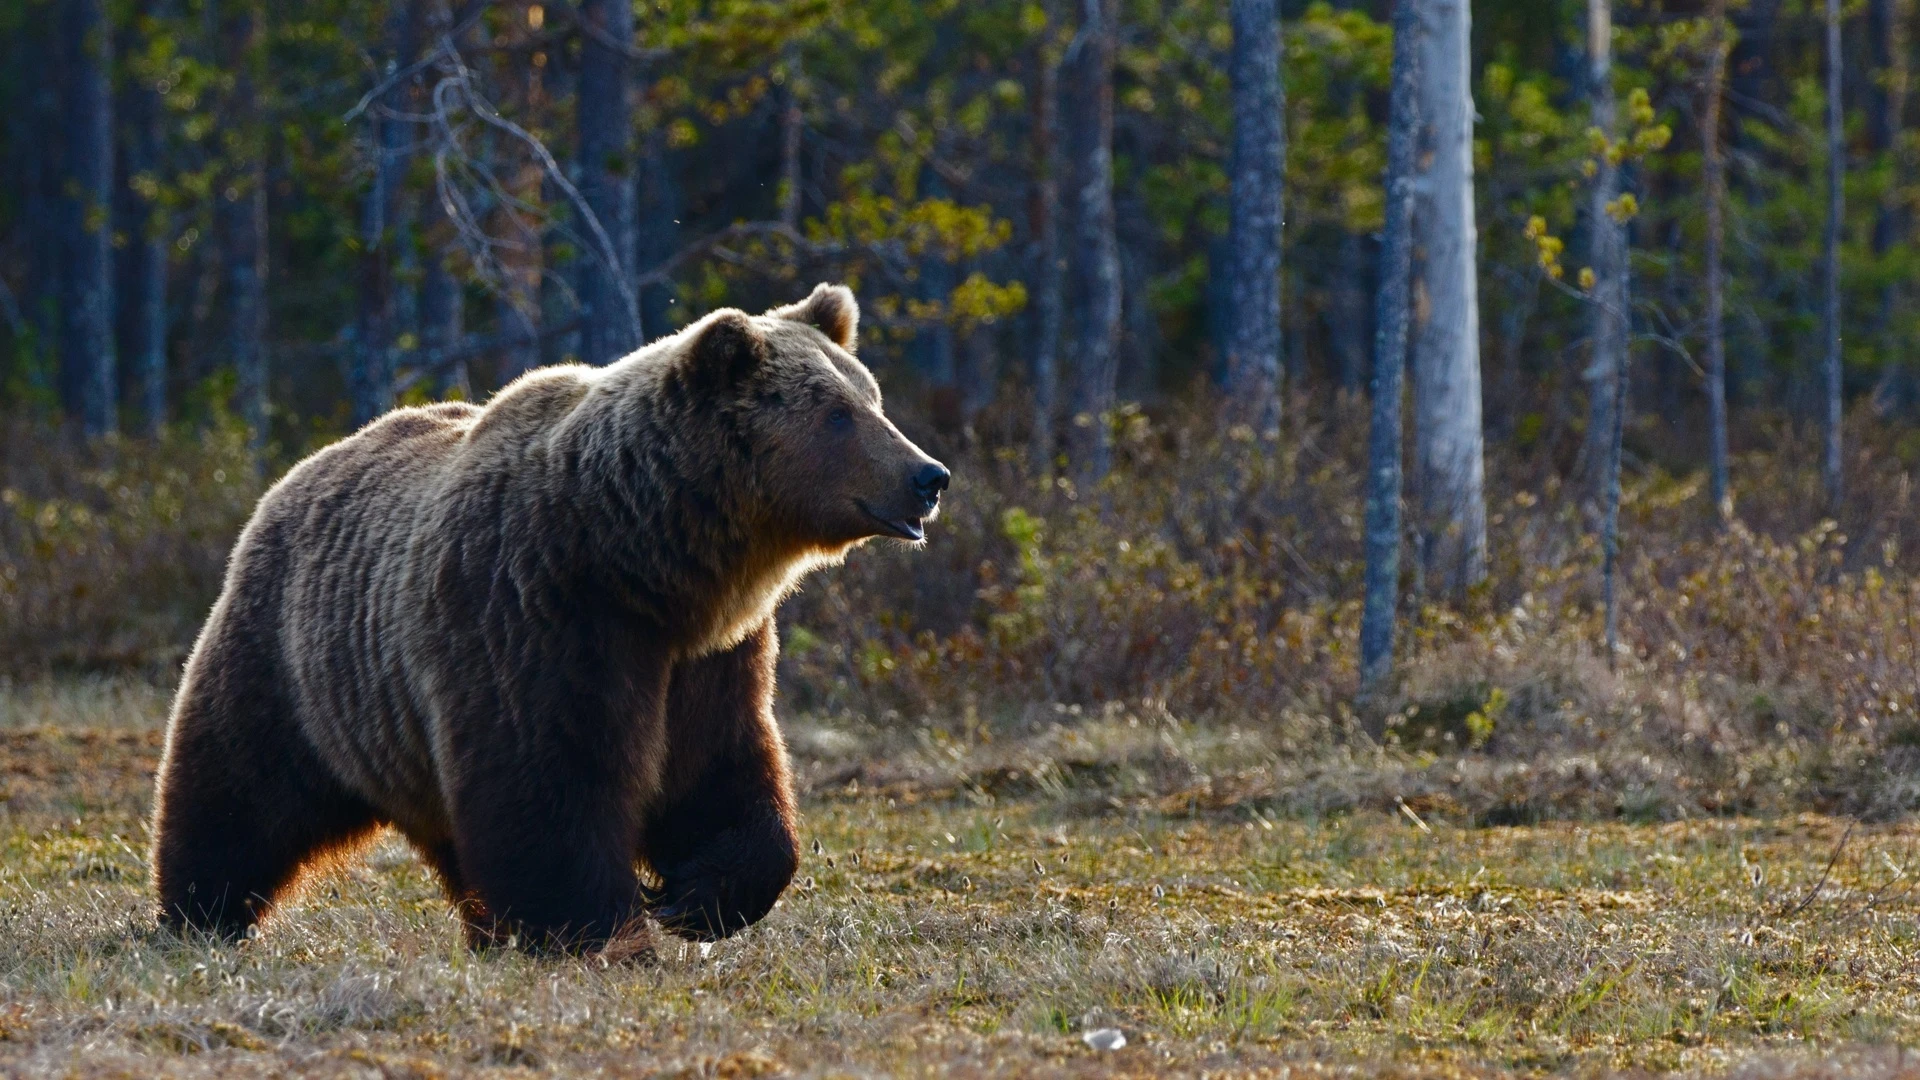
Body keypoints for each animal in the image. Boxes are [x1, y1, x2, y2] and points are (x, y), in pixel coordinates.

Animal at [149, 284, 944, 949]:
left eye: (872, 398)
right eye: (837, 414)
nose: (928, 475)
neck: (644, 559)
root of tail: (301, 470)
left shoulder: (710, 655)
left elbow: (721, 769)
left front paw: (696, 896)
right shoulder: (536, 614)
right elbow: (549, 782)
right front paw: (600, 928)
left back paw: (484, 929)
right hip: (295, 660)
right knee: (238, 789)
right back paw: (199, 913)